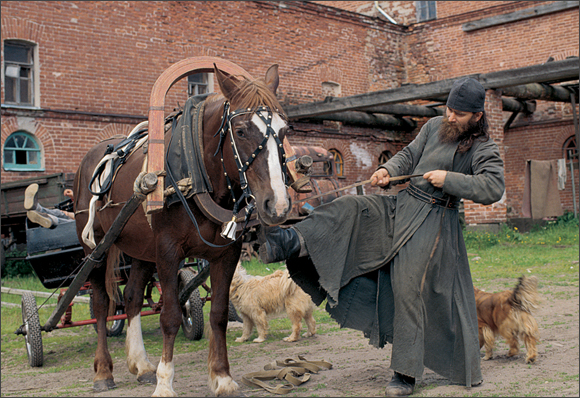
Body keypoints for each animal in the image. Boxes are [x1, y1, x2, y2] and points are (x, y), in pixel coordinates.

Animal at [73, 65, 290, 394]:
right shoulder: (167, 251)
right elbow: (171, 316)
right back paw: (103, 372)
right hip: (96, 246)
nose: (276, 204)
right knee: (102, 304)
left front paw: (221, 376)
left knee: (133, 297)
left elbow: (219, 313)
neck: (197, 171)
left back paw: (140, 364)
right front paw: (165, 383)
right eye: (240, 131)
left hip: (141, 249)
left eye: (284, 130)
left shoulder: (226, 253)